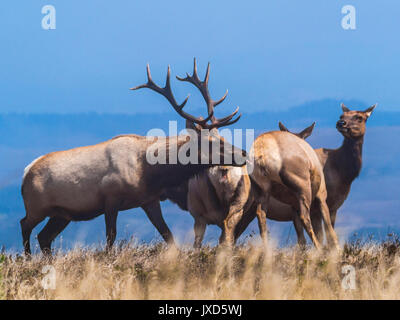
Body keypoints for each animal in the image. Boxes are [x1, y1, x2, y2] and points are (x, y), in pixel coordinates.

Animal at [234, 104, 376, 246]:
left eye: (360, 117)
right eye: (342, 115)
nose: (341, 123)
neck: (342, 172)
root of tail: (261, 153)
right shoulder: (324, 201)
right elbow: (329, 235)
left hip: (261, 194)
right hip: (302, 188)